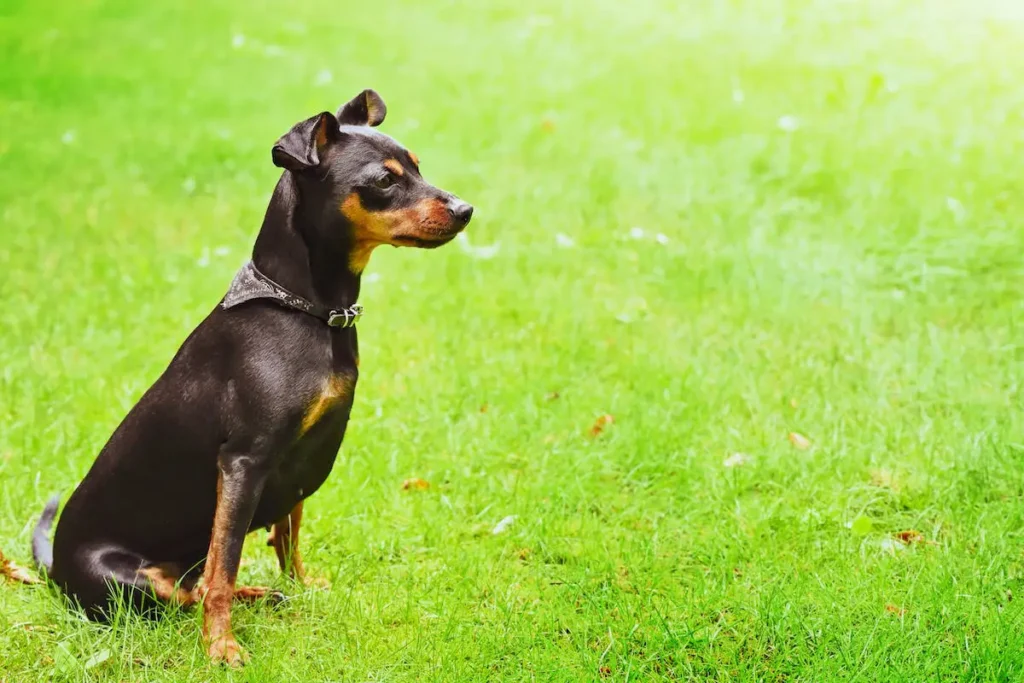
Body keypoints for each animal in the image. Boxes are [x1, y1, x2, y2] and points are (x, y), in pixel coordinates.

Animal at [0, 88, 471, 663]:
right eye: (384, 181)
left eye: (418, 167)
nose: (466, 210)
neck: (308, 311)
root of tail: (54, 571)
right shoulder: (245, 462)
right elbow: (224, 564)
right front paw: (222, 647)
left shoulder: (300, 458)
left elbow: (288, 534)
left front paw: (299, 585)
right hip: (130, 580)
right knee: (187, 591)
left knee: (196, 581)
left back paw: (262, 593)